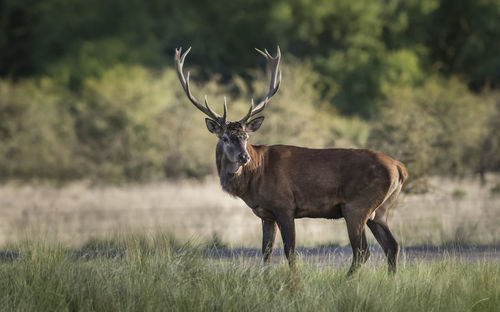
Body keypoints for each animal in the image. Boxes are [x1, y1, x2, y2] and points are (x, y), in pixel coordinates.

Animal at [174, 45, 408, 274]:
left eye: (246, 137)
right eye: (225, 138)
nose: (244, 156)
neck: (255, 178)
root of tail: (399, 167)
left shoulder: (284, 205)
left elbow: (289, 251)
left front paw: (293, 280)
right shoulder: (266, 214)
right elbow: (266, 252)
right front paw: (266, 278)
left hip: (357, 205)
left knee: (362, 251)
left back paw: (346, 279)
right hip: (381, 210)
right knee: (392, 246)